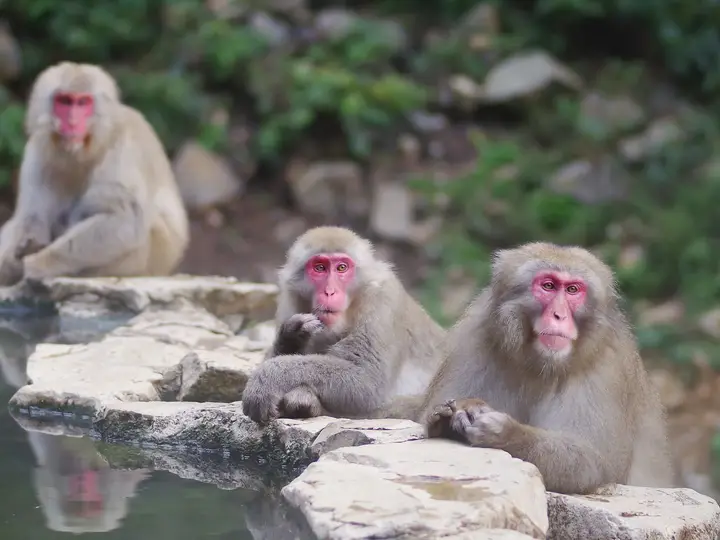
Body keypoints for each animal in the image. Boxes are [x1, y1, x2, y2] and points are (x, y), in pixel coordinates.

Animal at [0, 61, 189, 286]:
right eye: (64, 101)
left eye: (83, 102)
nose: (72, 123)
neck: (86, 149)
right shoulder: (37, 150)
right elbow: (31, 217)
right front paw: (13, 260)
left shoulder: (124, 147)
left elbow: (124, 219)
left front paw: (38, 262)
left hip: (148, 261)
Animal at [241, 226, 447, 423]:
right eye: (320, 268)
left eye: (341, 267)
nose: (330, 292)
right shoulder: (288, 303)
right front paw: (292, 335)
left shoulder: (383, 302)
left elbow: (366, 381)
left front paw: (267, 379)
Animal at [420, 242, 674, 495]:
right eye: (548, 286)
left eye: (572, 290)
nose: (558, 315)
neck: (539, 363)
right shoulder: (474, 335)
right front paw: (460, 411)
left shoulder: (609, 364)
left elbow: (592, 464)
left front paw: (506, 434)